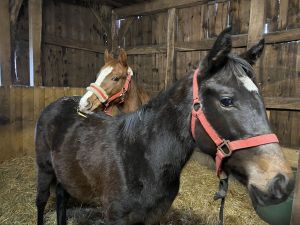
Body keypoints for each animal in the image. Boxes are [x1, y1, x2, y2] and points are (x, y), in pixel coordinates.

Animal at [34, 28, 292, 225]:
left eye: (261, 99)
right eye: (226, 101)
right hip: (44, 171)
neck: (141, 155)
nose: (281, 182)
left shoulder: (153, 217)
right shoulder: (115, 217)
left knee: (61, 199)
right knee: (41, 201)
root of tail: (58, 103)